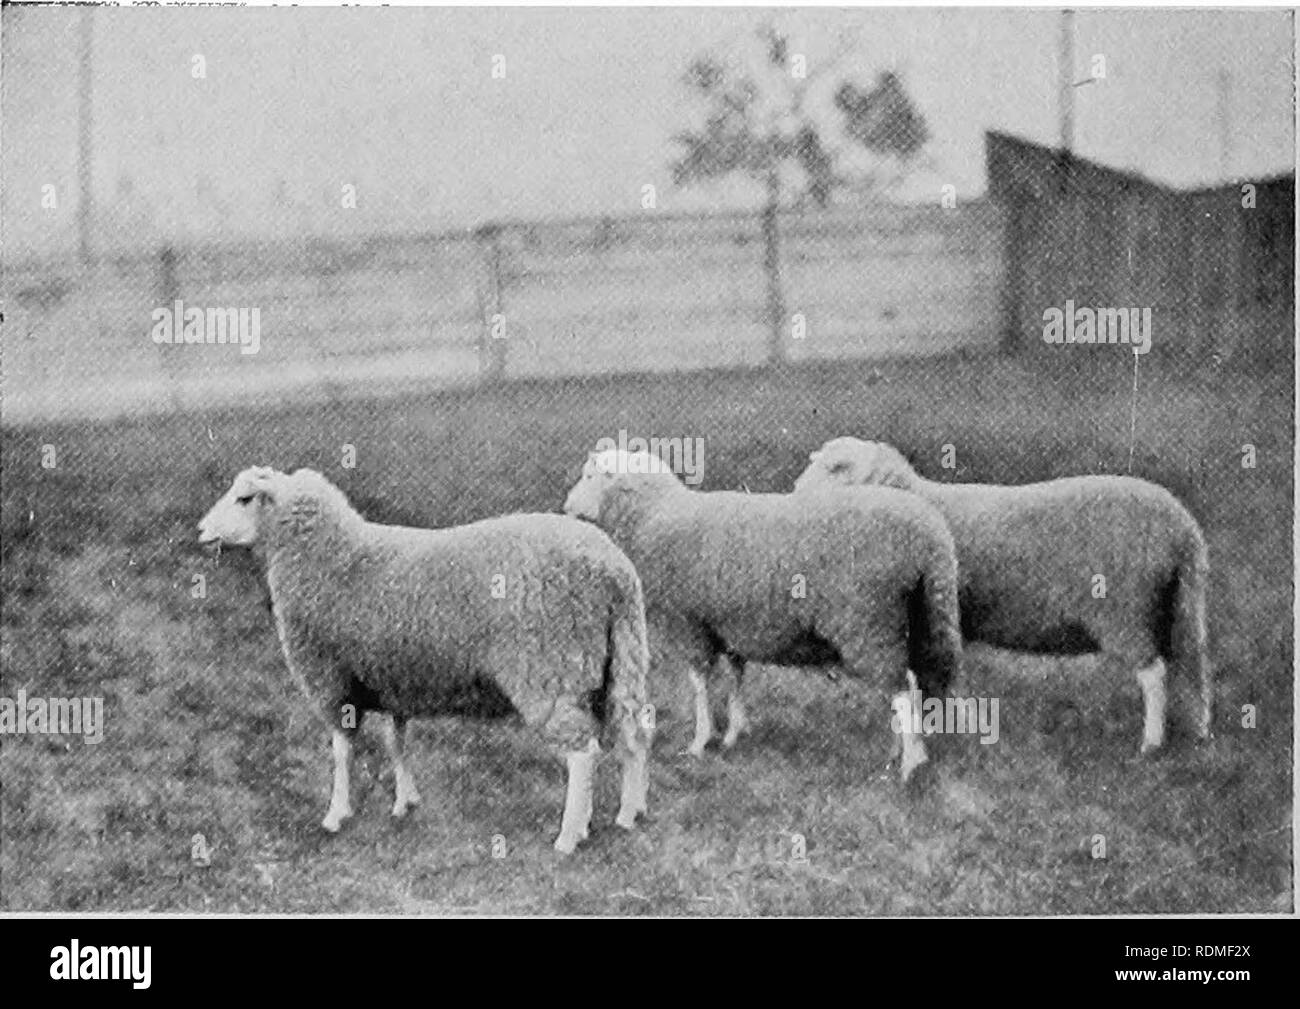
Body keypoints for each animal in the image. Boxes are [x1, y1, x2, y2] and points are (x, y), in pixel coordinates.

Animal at [197, 465, 655, 852]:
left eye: (244, 498)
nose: (201, 530)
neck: (330, 553)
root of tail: (613, 570)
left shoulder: (331, 679)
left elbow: (342, 751)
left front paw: (336, 814)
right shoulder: (392, 679)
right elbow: (396, 741)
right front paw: (405, 802)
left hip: (550, 670)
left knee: (583, 753)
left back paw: (569, 835)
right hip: (620, 658)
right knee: (634, 735)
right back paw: (628, 814)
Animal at [561, 444, 967, 785]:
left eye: (592, 476)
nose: (566, 509)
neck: (654, 515)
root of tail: (930, 539)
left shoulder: (688, 623)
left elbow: (699, 685)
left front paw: (700, 741)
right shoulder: (731, 625)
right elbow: (736, 676)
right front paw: (734, 733)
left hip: (868, 621)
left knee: (903, 688)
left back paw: (909, 765)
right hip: (919, 615)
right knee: (912, 684)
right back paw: (900, 751)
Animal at [795, 436, 1211, 754]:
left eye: (836, 468)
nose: (796, 494)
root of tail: (1183, 528)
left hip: (1125, 608)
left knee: (1153, 674)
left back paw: (1151, 743)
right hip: (1177, 603)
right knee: (1192, 665)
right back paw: (1200, 729)